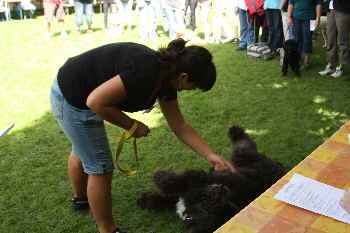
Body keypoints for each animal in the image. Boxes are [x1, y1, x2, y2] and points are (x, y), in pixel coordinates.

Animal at [137, 126, 284, 232]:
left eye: (210, 205)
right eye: (204, 201)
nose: (221, 190)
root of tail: (278, 165)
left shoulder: (215, 179)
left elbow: (185, 180)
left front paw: (162, 178)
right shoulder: (184, 195)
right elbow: (169, 197)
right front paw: (147, 200)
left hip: (242, 157)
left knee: (243, 145)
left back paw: (235, 131)